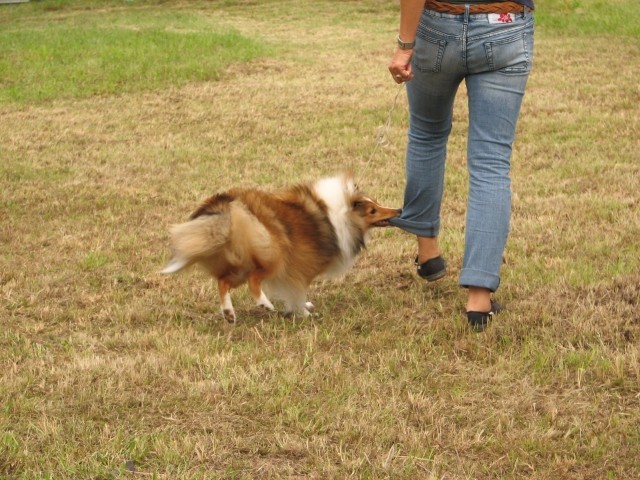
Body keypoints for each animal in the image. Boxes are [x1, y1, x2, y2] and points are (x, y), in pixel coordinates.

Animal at [161, 174, 400, 320]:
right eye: (372, 211)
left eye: (376, 204)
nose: (398, 210)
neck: (342, 216)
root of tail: (226, 204)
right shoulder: (301, 266)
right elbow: (297, 291)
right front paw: (304, 312)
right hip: (273, 252)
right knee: (254, 280)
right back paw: (264, 304)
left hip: (241, 261)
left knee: (223, 281)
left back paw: (229, 312)